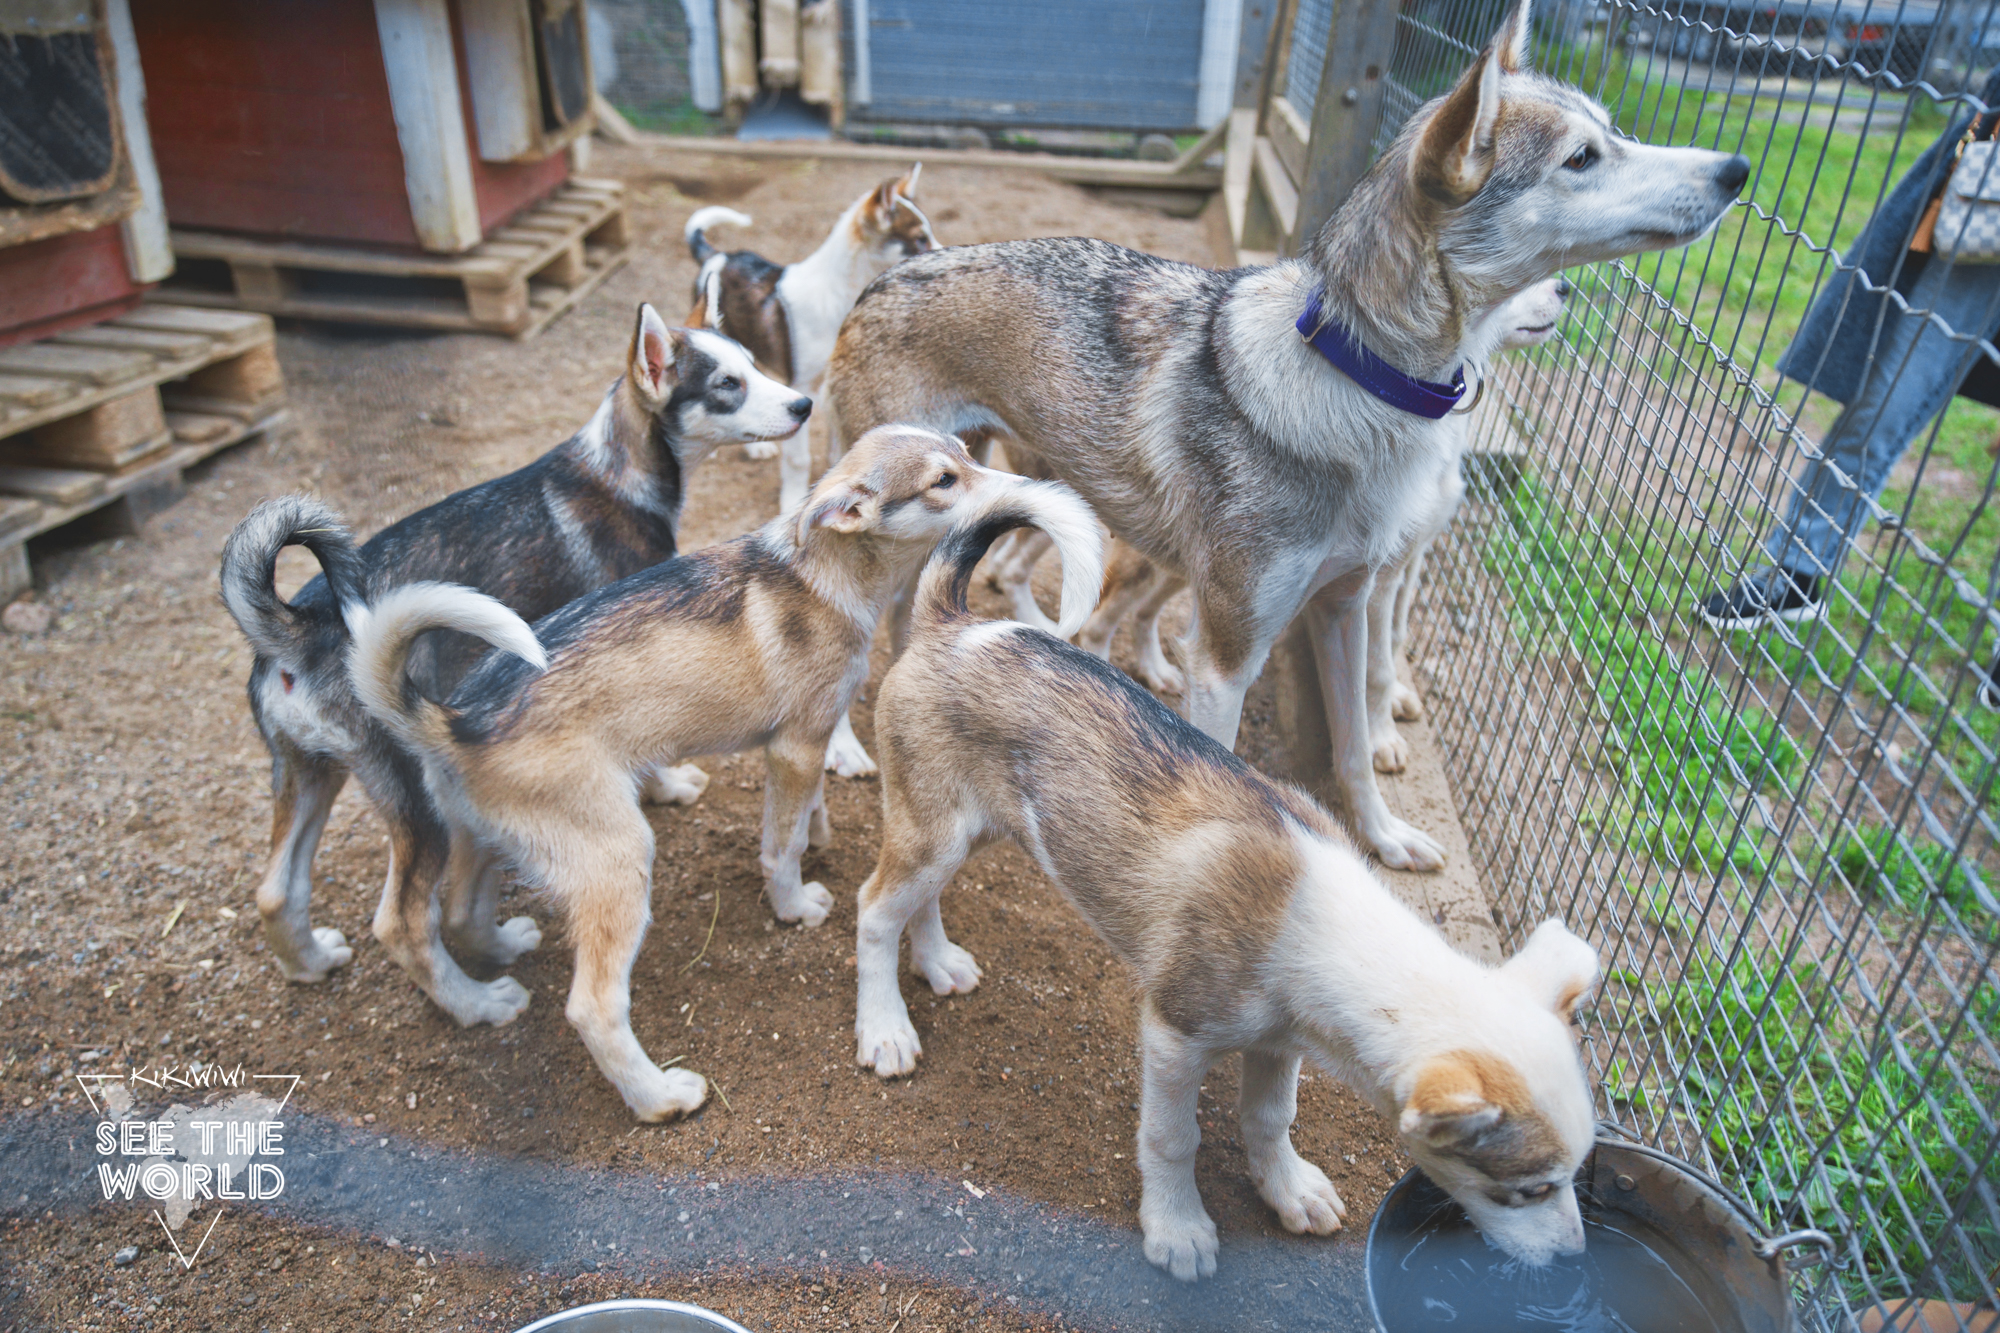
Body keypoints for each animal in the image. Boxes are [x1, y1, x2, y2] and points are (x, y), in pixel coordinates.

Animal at [338, 422, 1104, 1112]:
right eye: (945, 481)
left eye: (971, 455)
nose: (1036, 490)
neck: (822, 576)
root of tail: (453, 719)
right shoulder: (795, 745)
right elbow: (780, 845)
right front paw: (793, 906)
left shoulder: (805, 744)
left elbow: (809, 813)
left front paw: (820, 840)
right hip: (618, 857)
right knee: (587, 1006)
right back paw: (659, 1096)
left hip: (484, 840)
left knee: (460, 915)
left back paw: (495, 976)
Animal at [820, 0, 1744, 868]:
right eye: (1582, 158)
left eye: (1615, 131)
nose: (1736, 168)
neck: (1359, 382)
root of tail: (890, 275)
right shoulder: (1228, 651)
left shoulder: (1347, 605)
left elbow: (1355, 747)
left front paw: (1386, 840)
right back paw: (842, 751)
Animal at [852, 520, 1600, 1280]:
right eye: (1529, 1188)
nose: (1577, 1257)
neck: (1320, 918)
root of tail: (953, 622)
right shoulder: (1174, 1035)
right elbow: (1172, 1138)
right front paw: (1178, 1230)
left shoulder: (1279, 1040)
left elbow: (1270, 1119)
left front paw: (1289, 1190)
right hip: (934, 833)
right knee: (875, 909)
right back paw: (885, 1029)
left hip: (960, 830)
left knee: (918, 903)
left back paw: (939, 963)